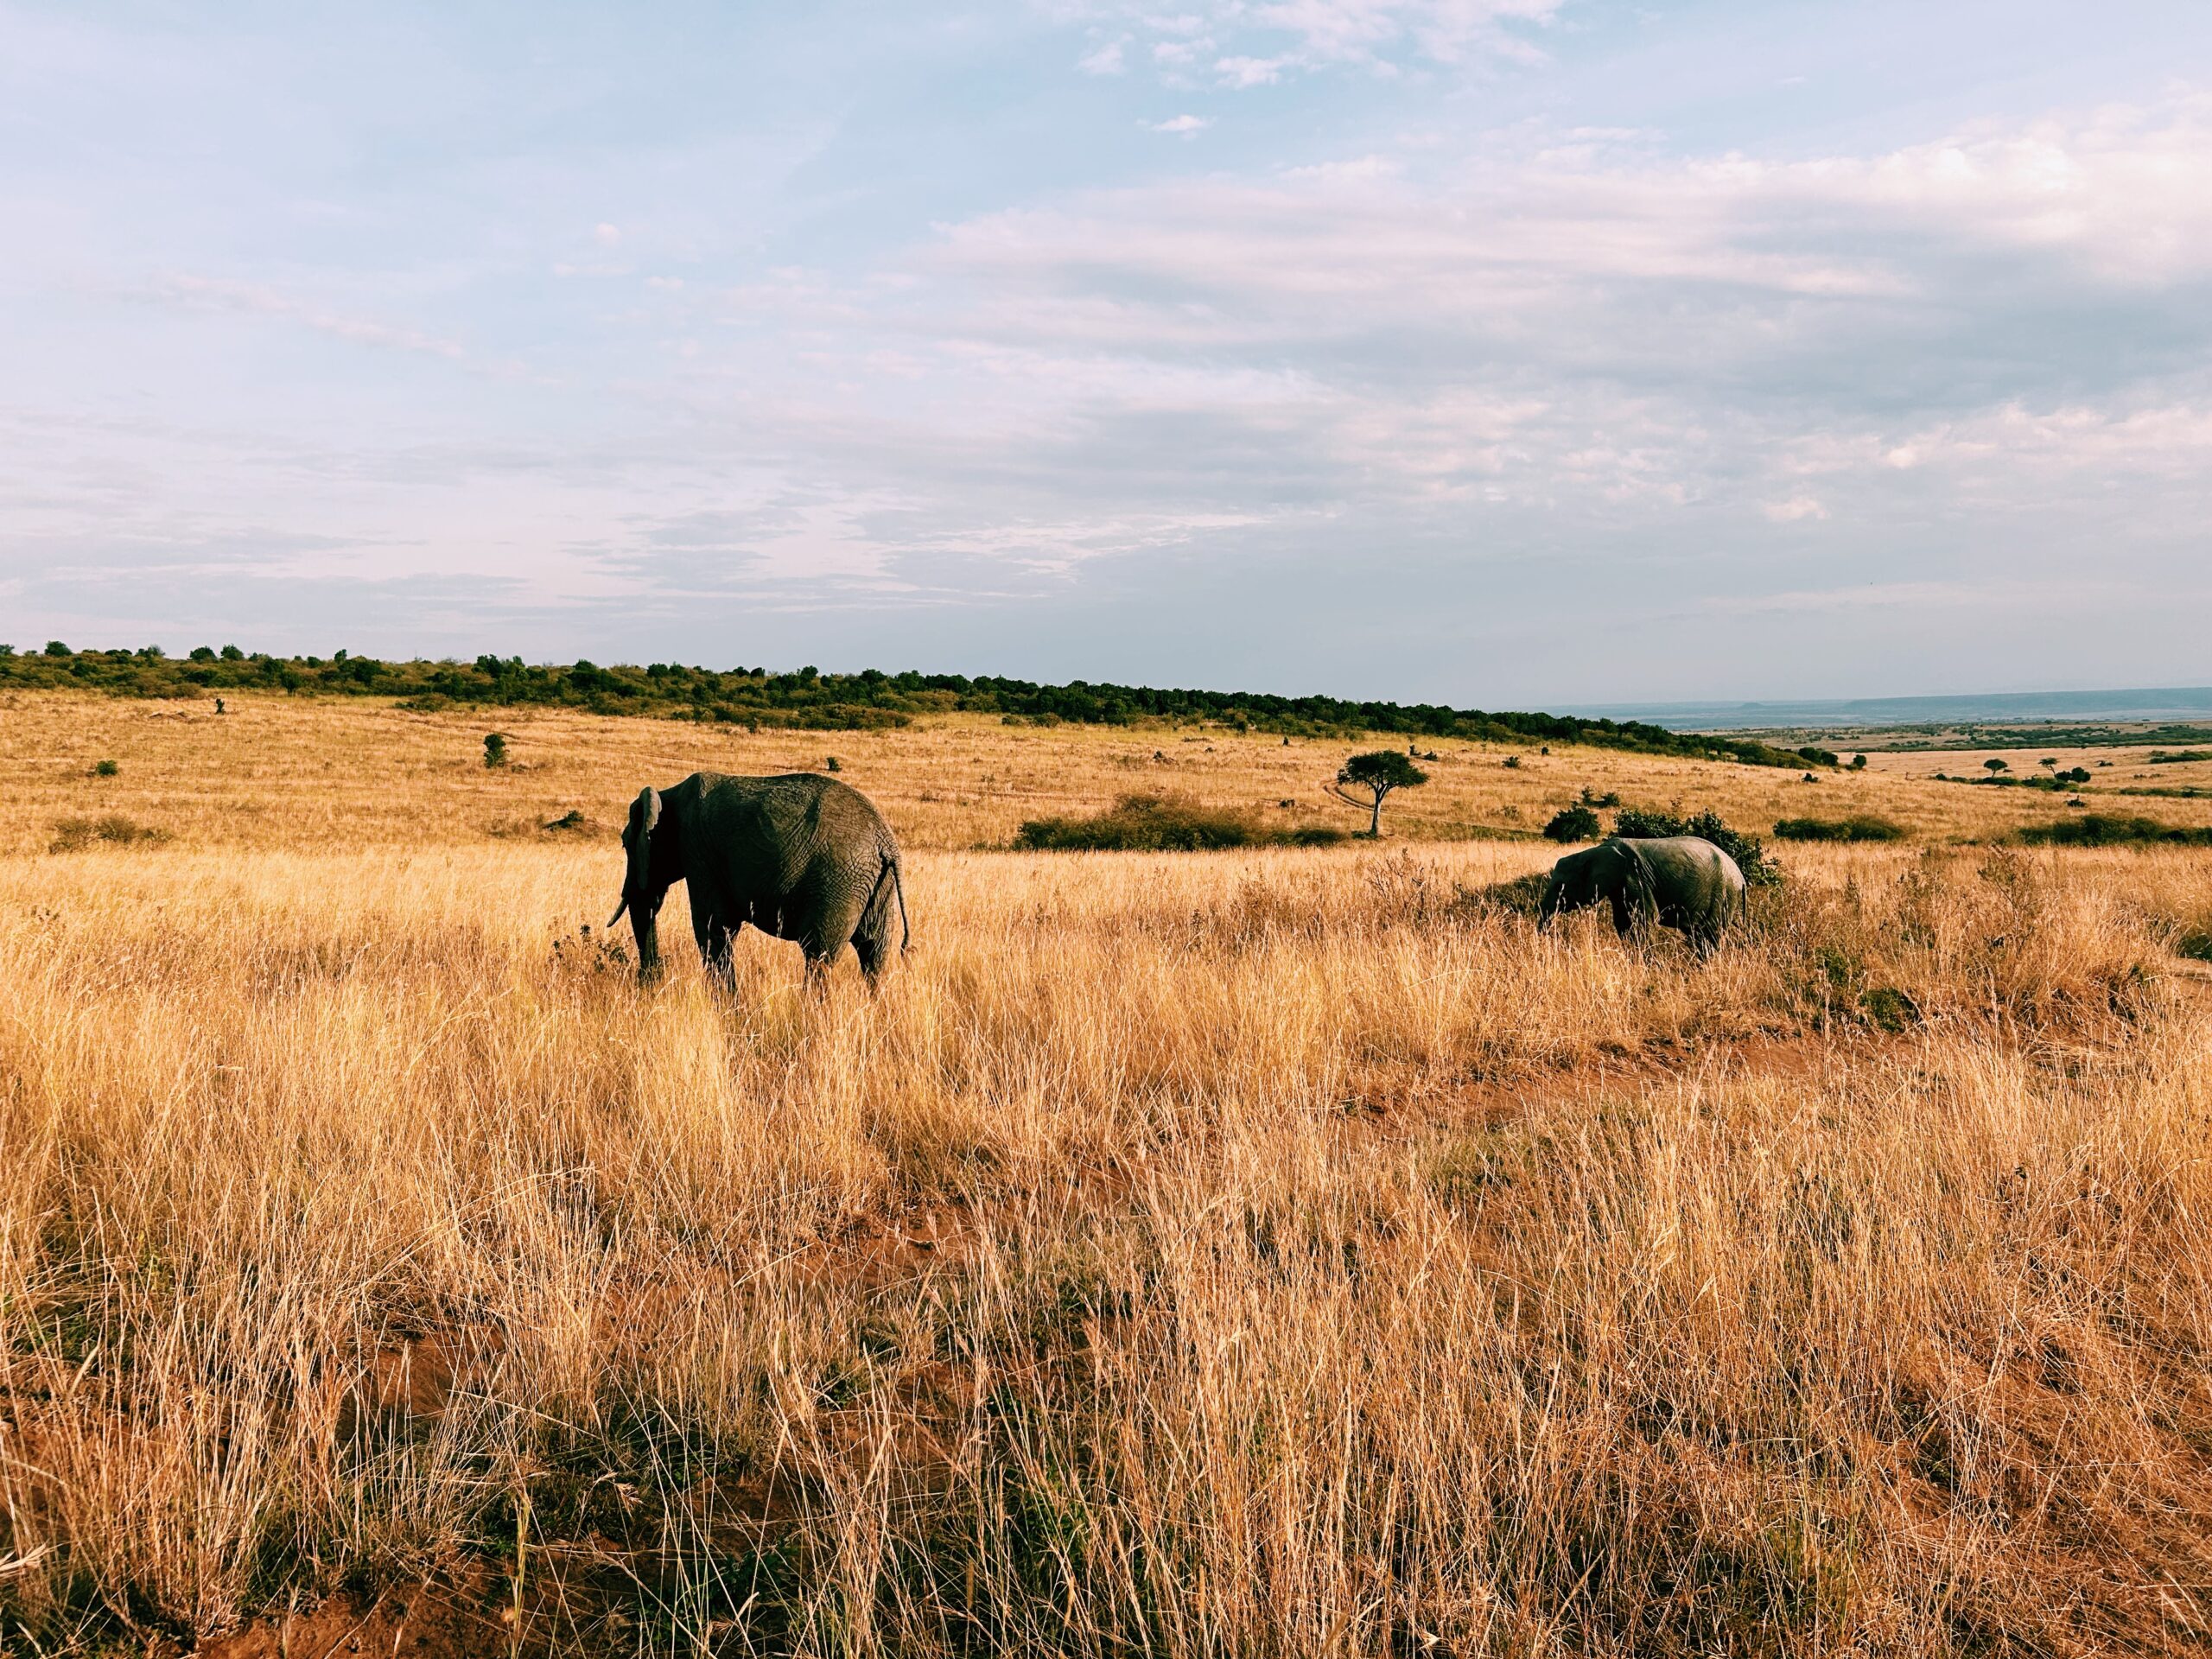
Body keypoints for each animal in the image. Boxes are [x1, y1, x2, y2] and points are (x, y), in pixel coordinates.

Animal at [606, 779, 906, 995]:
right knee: (874, 955)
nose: (651, 981)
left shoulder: (698, 851)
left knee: (819, 957)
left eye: (624, 844)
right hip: (876, 885)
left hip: (839, 882)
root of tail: (886, 842)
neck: (670, 793)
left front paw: (727, 1009)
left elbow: (712, 929)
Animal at [1539, 836, 1743, 955]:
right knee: (1697, 934)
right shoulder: (1620, 886)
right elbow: (1623, 923)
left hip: (1723, 894)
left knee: (1710, 934)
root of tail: (1740, 876)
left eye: (1560, 886)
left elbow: (1643, 920)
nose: (1550, 937)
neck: (1594, 852)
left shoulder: (1635, 877)